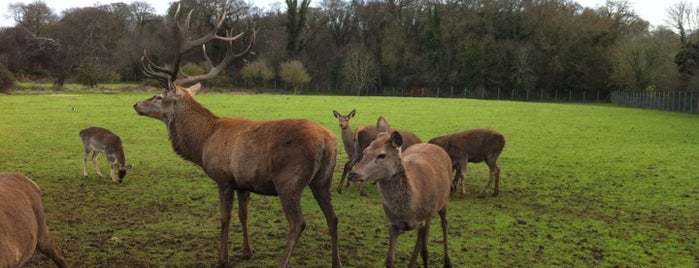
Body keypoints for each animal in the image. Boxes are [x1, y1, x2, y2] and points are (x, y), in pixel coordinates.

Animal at [134, 4, 342, 268]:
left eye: (159, 97)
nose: (136, 104)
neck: (203, 141)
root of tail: (327, 142)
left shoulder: (223, 177)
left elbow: (225, 217)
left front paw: (221, 259)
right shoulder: (244, 182)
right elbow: (244, 215)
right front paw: (247, 251)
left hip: (289, 179)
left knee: (298, 223)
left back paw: (282, 262)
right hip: (323, 179)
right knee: (333, 217)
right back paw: (336, 262)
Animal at [346, 118, 454, 268]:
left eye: (382, 155)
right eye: (365, 151)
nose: (352, 174)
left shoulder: (425, 218)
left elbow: (422, 253)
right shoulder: (393, 223)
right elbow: (390, 258)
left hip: (444, 200)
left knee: (445, 223)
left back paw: (447, 260)